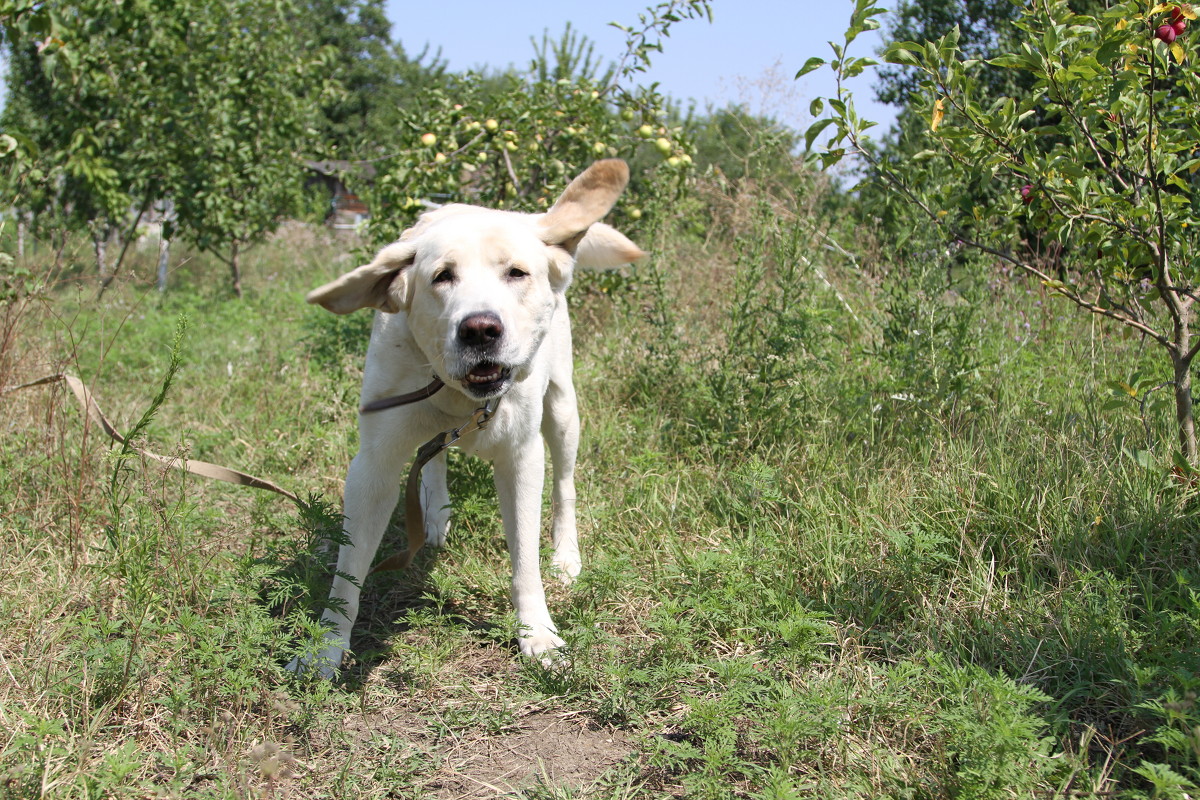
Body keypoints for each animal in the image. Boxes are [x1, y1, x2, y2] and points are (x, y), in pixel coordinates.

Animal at [289, 158, 643, 676]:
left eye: (516, 273)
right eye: (441, 276)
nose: (479, 329)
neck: (459, 395)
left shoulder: (521, 457)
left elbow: (524, 560)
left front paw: (537, 633)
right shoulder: (373, 465)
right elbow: (347, 574)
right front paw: (327, 646)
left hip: (562, 408)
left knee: (564, 486)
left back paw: (565, 554)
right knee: (434, 455)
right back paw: (435, 515)